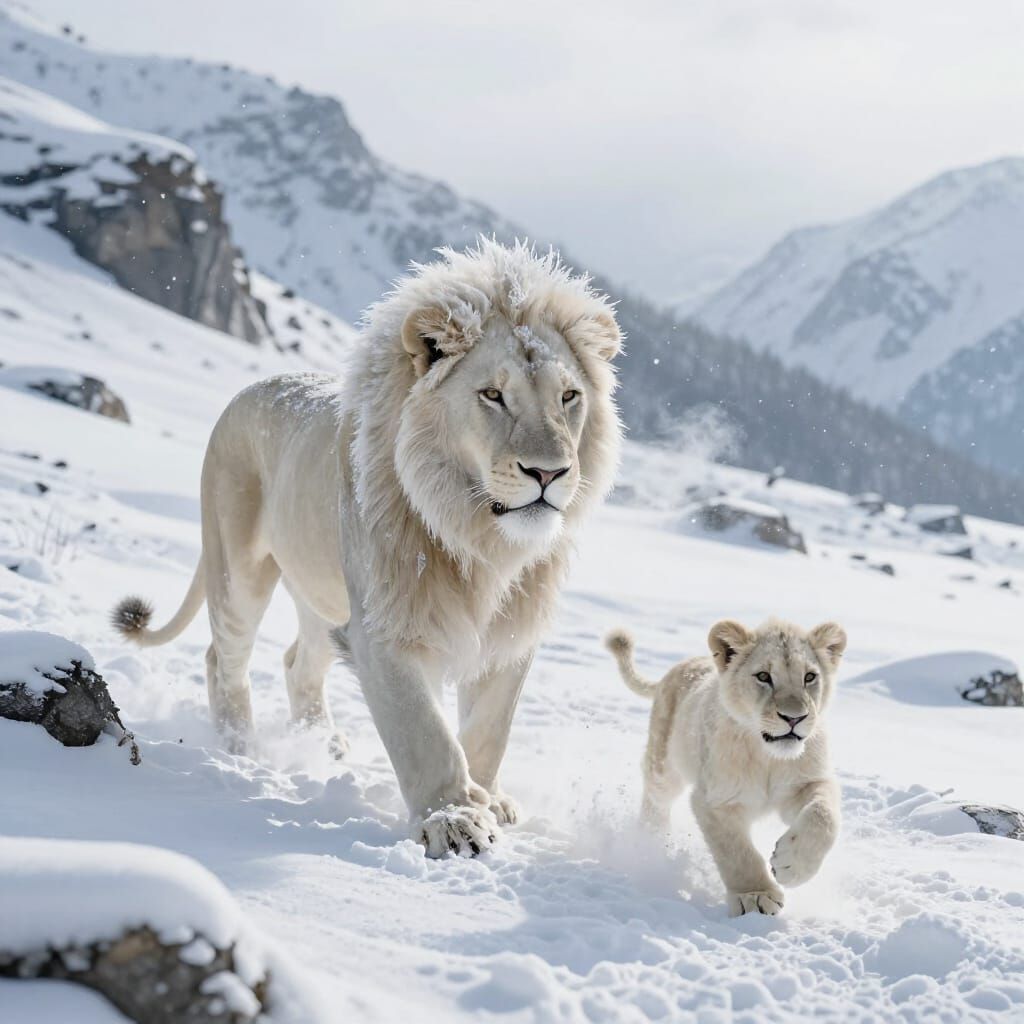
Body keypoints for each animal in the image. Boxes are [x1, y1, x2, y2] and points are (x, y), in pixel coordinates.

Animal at [111, 240, 623, 857]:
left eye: (569, 396)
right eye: (493, 395)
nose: (548, 473)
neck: (477, 539)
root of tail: (254, 387)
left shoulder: (512, 632)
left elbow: (489, 727)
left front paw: (490, 799)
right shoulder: (384, 623)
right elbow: (423, 731)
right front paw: (454, 820)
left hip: (320, 591)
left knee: (298, 662)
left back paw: (321, 744)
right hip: (239, 567)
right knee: (223, 657)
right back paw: (242, 748)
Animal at [605, 618, 846, 916]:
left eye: (809, 677)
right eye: (764, 676)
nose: (794, 718)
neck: (768, 757)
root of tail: (683, 665)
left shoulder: (809, 783)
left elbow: (823, 816)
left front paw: (791, 866)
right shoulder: (714, 801)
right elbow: (736, 852)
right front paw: (755, 897)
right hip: (664, 767)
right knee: (655, 800)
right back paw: (649, 845)